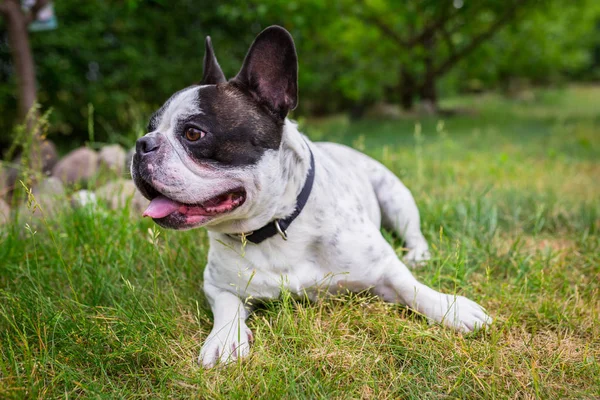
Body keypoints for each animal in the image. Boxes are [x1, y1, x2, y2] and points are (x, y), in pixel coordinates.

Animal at [131, 25, 492, 368]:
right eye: (149, 127)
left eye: (194, 133)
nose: (142, 144)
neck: (278, 225)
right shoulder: (216, 284)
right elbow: (227, 304)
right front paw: (224, 339)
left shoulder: (383, 267)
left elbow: (410, 285)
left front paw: (452, 308)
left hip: (395, 196)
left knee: (414, 234)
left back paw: (419, 254)